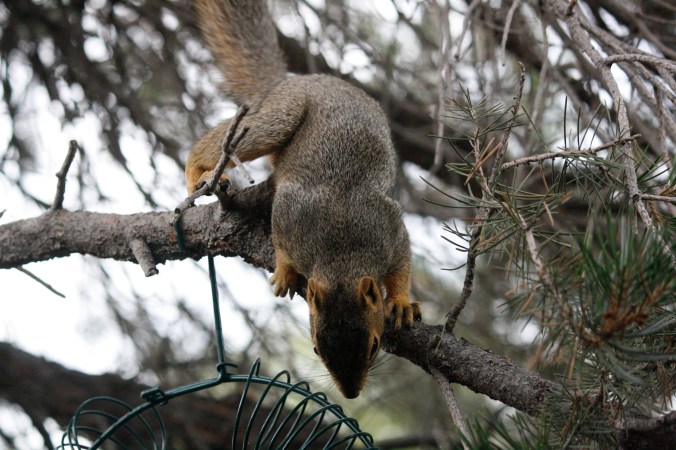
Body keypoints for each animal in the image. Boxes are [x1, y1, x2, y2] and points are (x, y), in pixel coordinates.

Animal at [187, 0, 421, 399]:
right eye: (315, 348)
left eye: (374, 345)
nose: (351, 393)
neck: (341, 254)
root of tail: (296, 79)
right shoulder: (292, 215)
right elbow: (281, 239)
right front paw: (284, 272)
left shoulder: (389, 229)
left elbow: (403, 264)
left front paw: (402, 302)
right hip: (278, 118)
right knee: (214, 146)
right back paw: (194, 171)